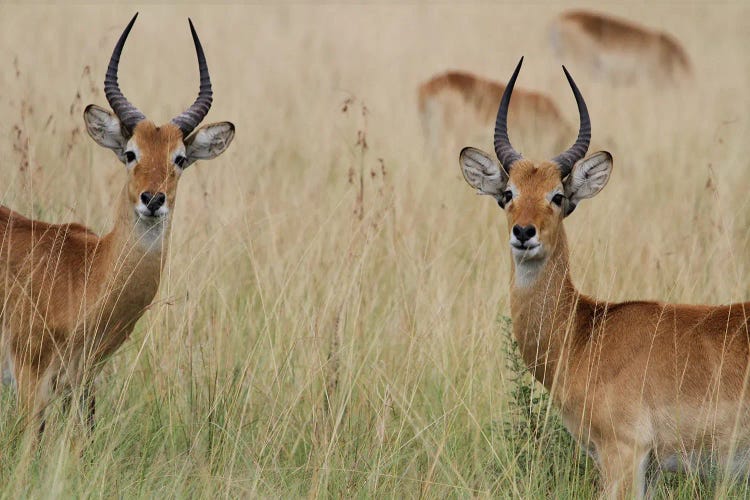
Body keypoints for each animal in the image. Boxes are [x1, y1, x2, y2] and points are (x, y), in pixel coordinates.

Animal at [0, 11, 235, 434]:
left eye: (179, 158)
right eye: (130, 153)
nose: (153, 199)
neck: (86, 272)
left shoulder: (81, 382)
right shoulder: (29, 378)